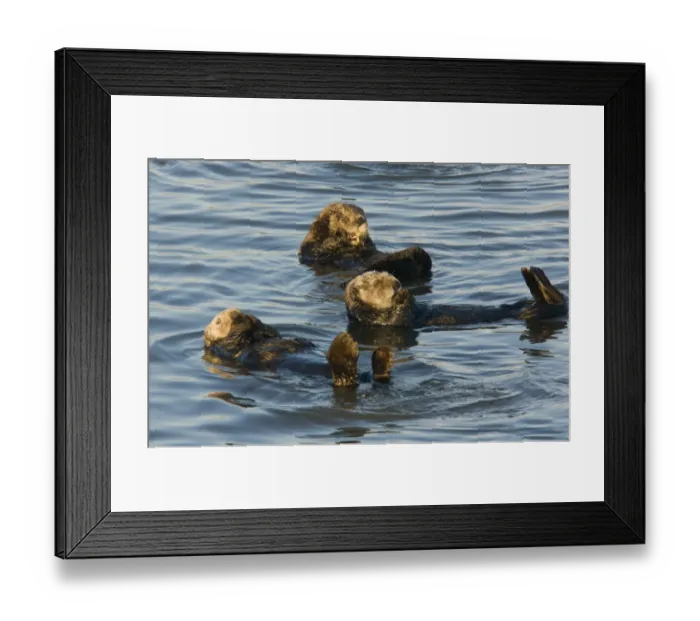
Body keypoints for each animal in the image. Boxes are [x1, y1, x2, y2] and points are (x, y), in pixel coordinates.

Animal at [203, 309, 393, 386]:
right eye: (218, 321)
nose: (235, 313)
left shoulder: (267, 334)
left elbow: (272, 332)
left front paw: (251, 318)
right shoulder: (224, 348)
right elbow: (233, 339)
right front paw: (240, 321)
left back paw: (383, 356)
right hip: (342, 376)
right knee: (344, 379)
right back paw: (346, 347)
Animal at [299, 202, 432, 282]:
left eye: (363, 215)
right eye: (345, 218)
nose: (361, 221)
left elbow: (370, 245)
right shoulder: (311, 248)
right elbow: (321, 248)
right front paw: (340, 236)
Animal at [344, 266, 568, 328]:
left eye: (392, 276)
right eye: (376, 284)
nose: (397, 285)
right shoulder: (381, 321)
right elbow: (400, 316)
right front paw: (404, 296)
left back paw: (532, 273)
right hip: (536, 312)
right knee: (555, 302)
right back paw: (533, 276)